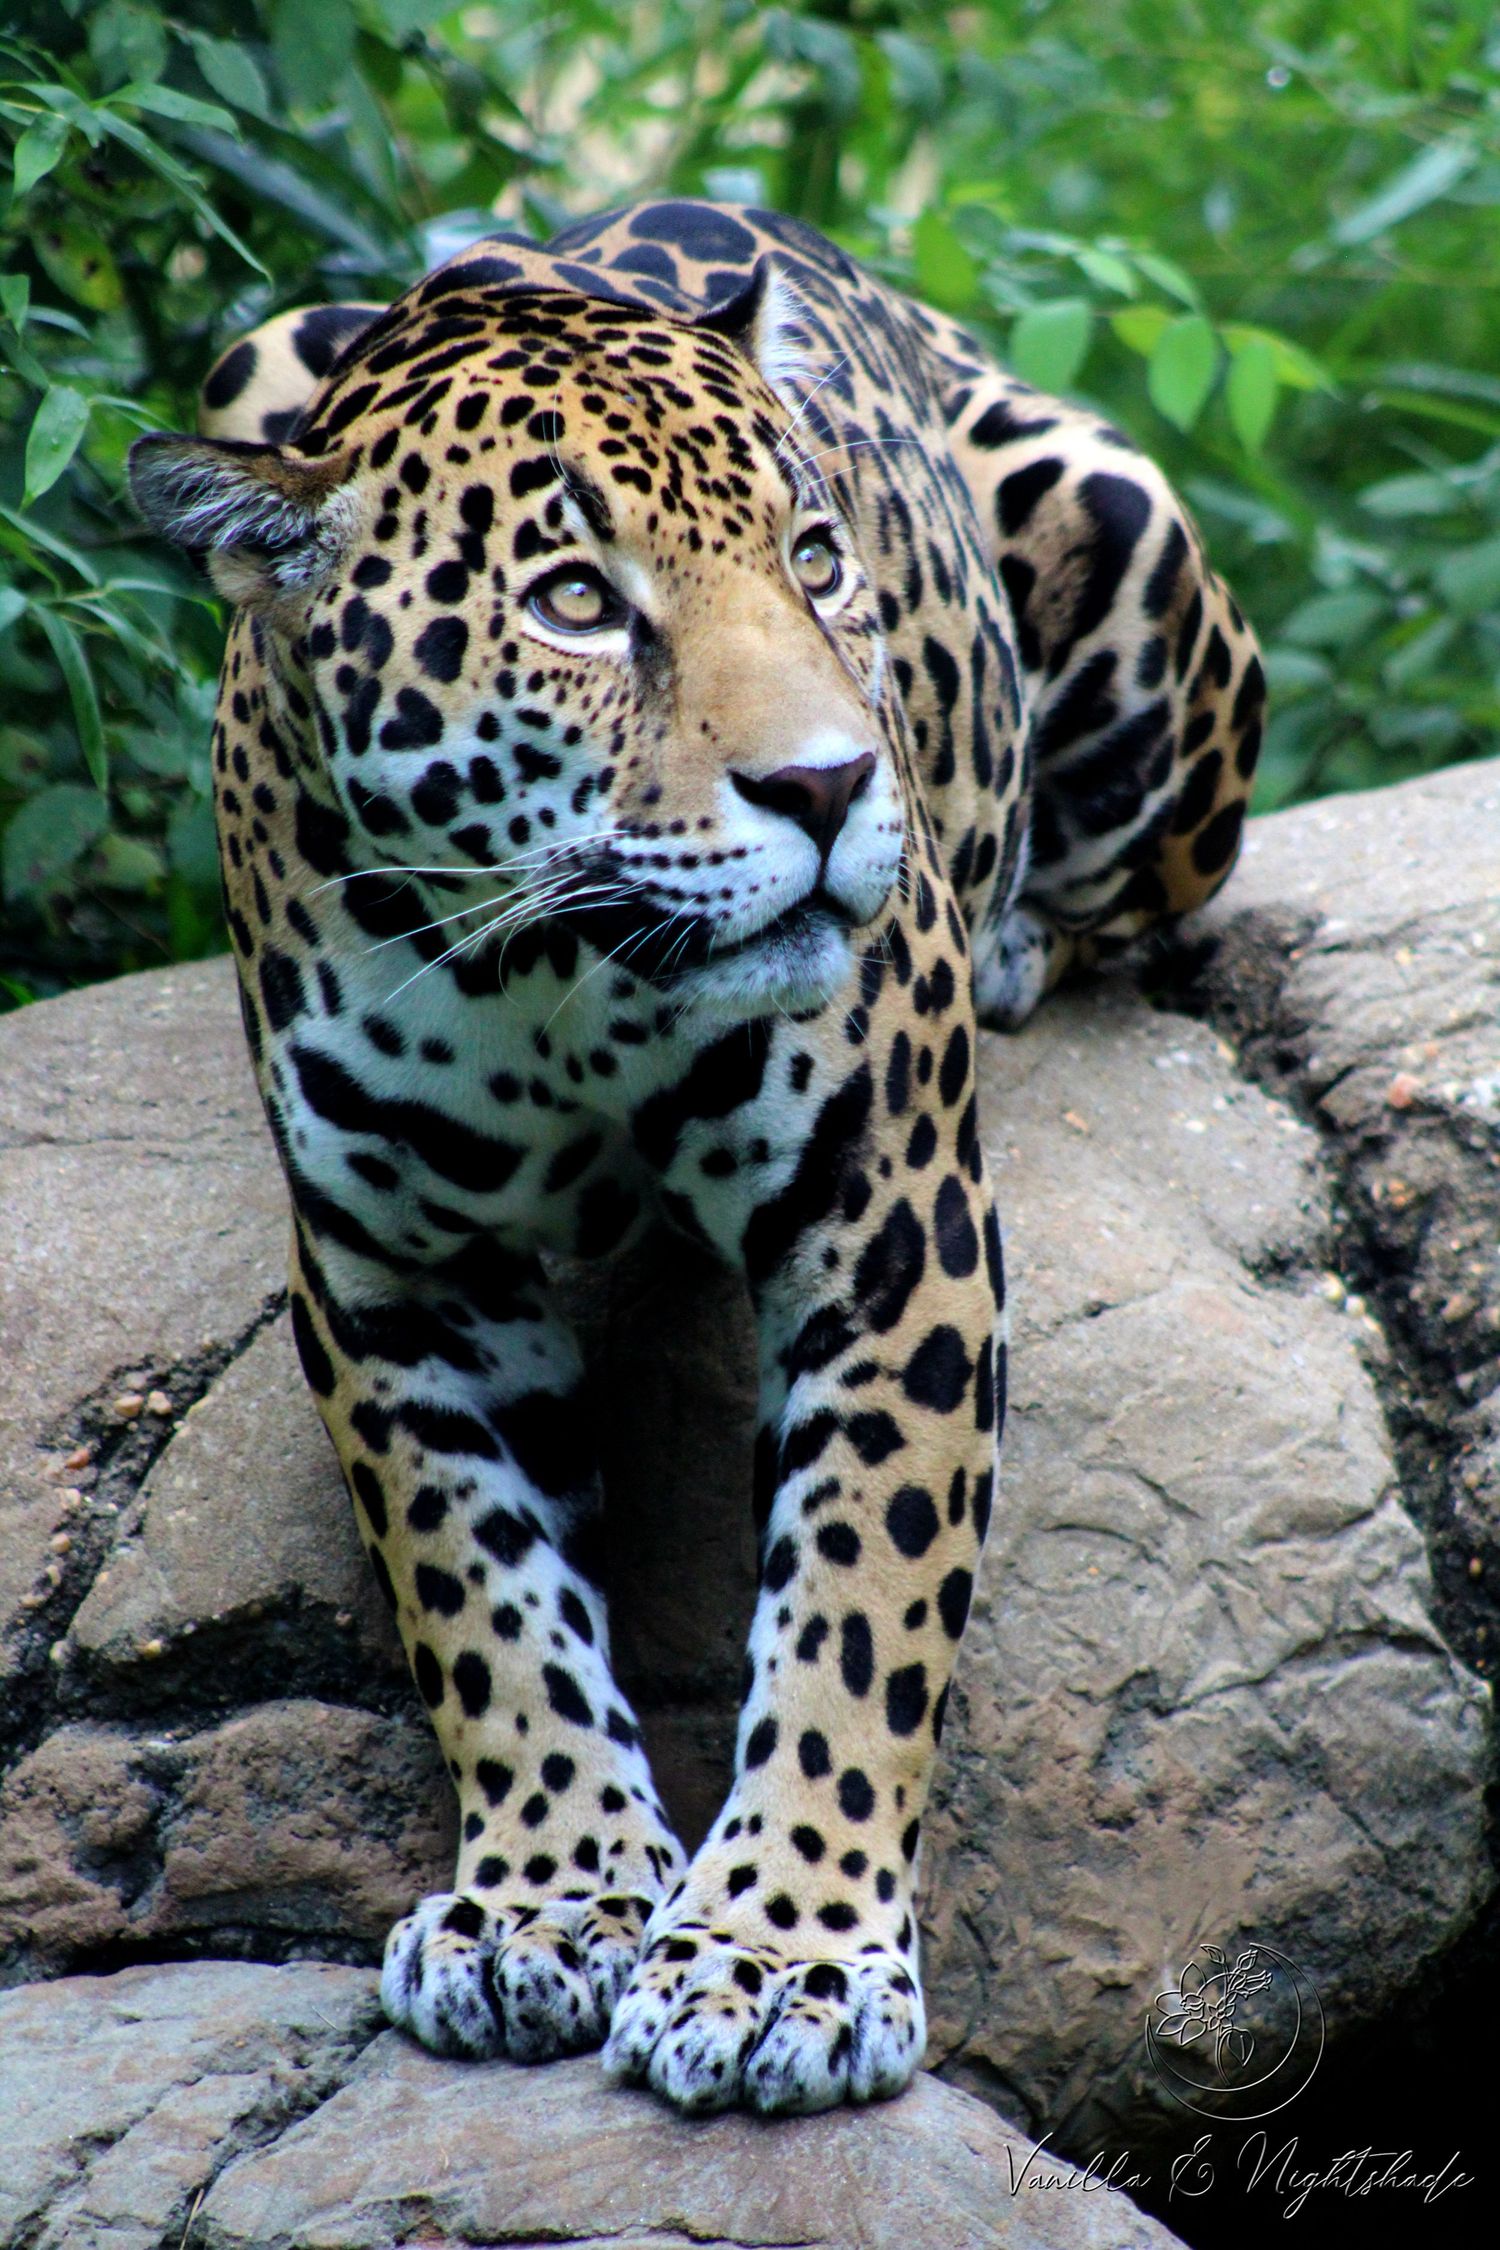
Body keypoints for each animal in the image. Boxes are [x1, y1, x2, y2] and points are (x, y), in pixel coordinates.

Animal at [129, 197, 1263, 2118]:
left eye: (814, 559)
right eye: (577, 603)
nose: (830, 788)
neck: (554, 968)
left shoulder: (892, 1222)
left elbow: (861, 1602)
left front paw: (779, 1954)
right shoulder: (391, 1270)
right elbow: (482, 1589)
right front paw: (546, 1900)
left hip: (1129, 554)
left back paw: (1020, 931)